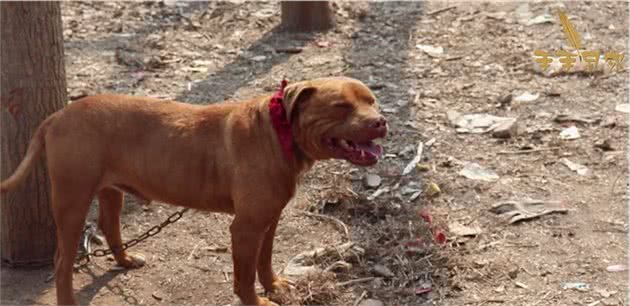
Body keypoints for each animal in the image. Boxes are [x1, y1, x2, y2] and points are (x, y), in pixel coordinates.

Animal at [0, 77, 388, 306]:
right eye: (341, 106)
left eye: (372, 101)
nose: (381, 121)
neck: (280, 131)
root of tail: (58, 116)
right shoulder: (245, 228)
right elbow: (244, 277)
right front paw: (257, 300)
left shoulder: (269, 219)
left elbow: (264, 261)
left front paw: (274, 286)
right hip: (72, 200)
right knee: (62, 261)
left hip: (110, 191)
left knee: (109, 226)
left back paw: (125, 260)